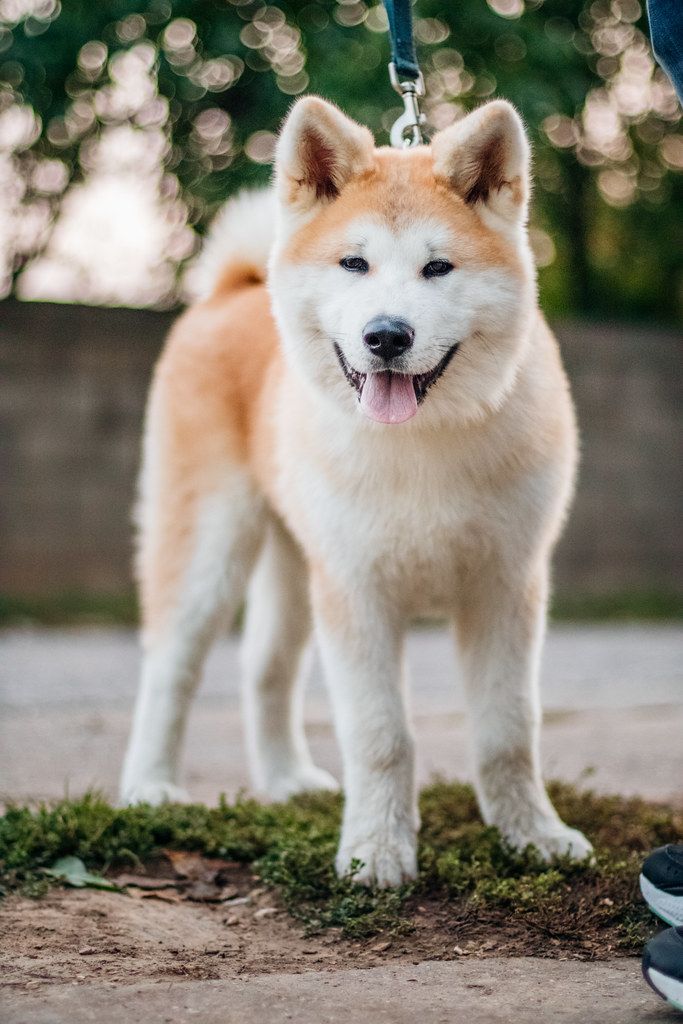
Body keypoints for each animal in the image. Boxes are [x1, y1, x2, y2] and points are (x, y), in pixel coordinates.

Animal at [121, 97, 593, 888]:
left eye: (437, 267)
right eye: (354, 263)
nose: (386, 336)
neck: (420, 444)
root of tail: (233, 290)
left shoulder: (506, 587)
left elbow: (507, 733)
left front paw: (531, 838)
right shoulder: (359, 591)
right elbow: (381, 736)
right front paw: (377, 853)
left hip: (296, 568)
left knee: (265, 669)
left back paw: (285, 781)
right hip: (208, 551)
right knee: (170, 669)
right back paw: (149, 788)